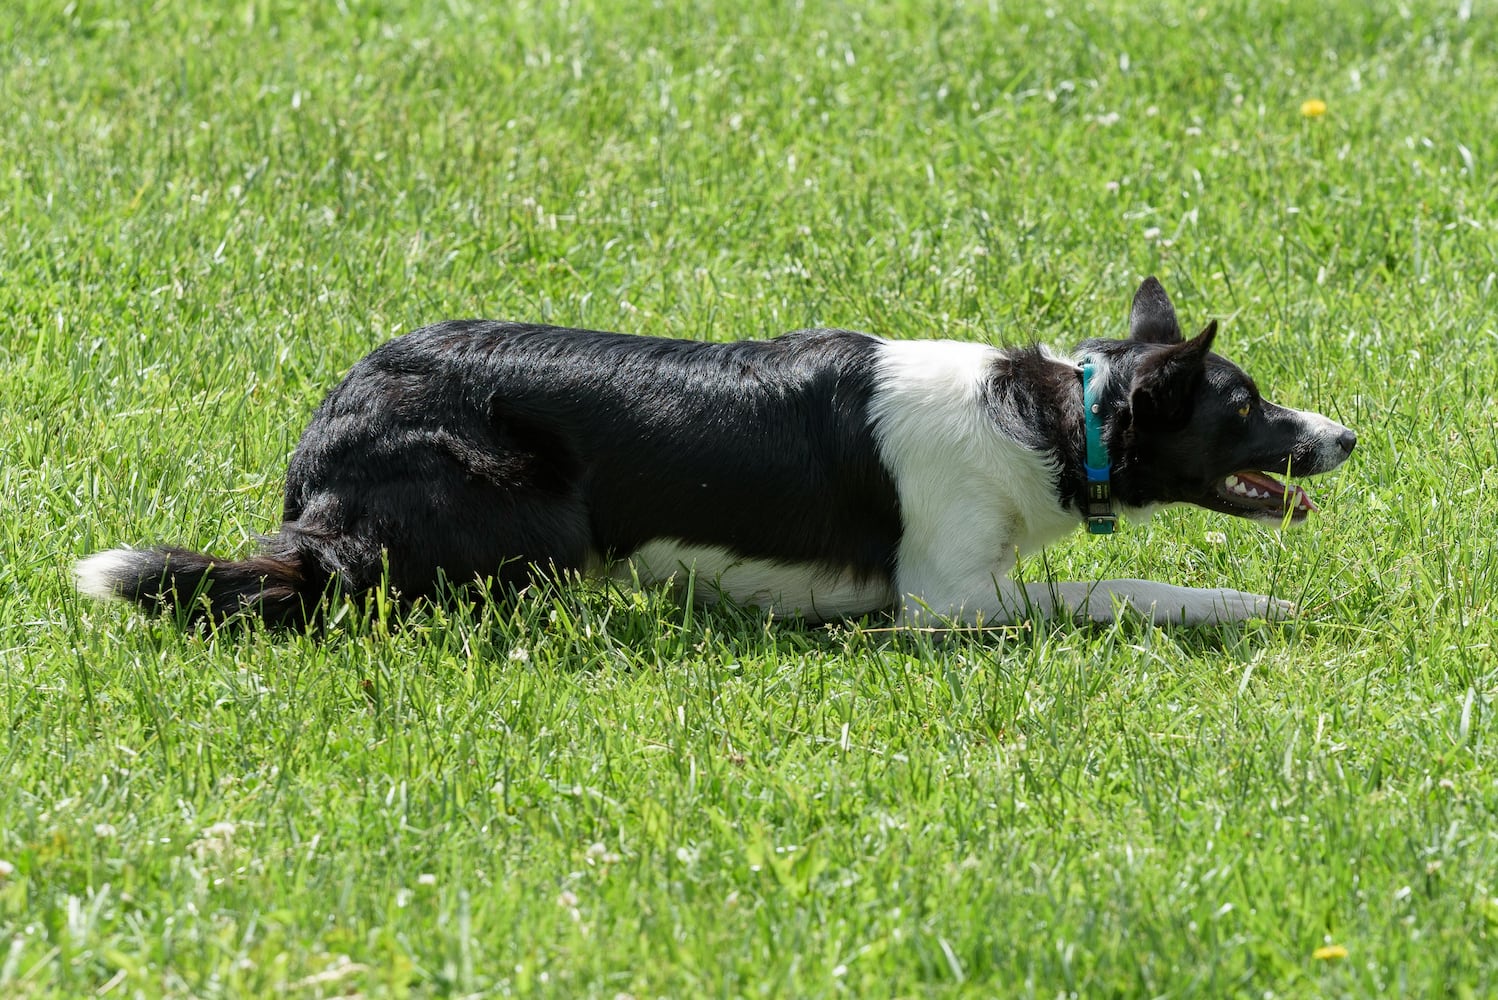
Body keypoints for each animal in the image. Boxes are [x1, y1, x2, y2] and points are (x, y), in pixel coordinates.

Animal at [73, 276, 1360, 628]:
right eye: (1246, 405)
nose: (1347, 433)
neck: (1053, 417)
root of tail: (319, 465)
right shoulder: (945, 597)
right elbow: (1118, 582)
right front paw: (1240, 605)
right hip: (529, 503)